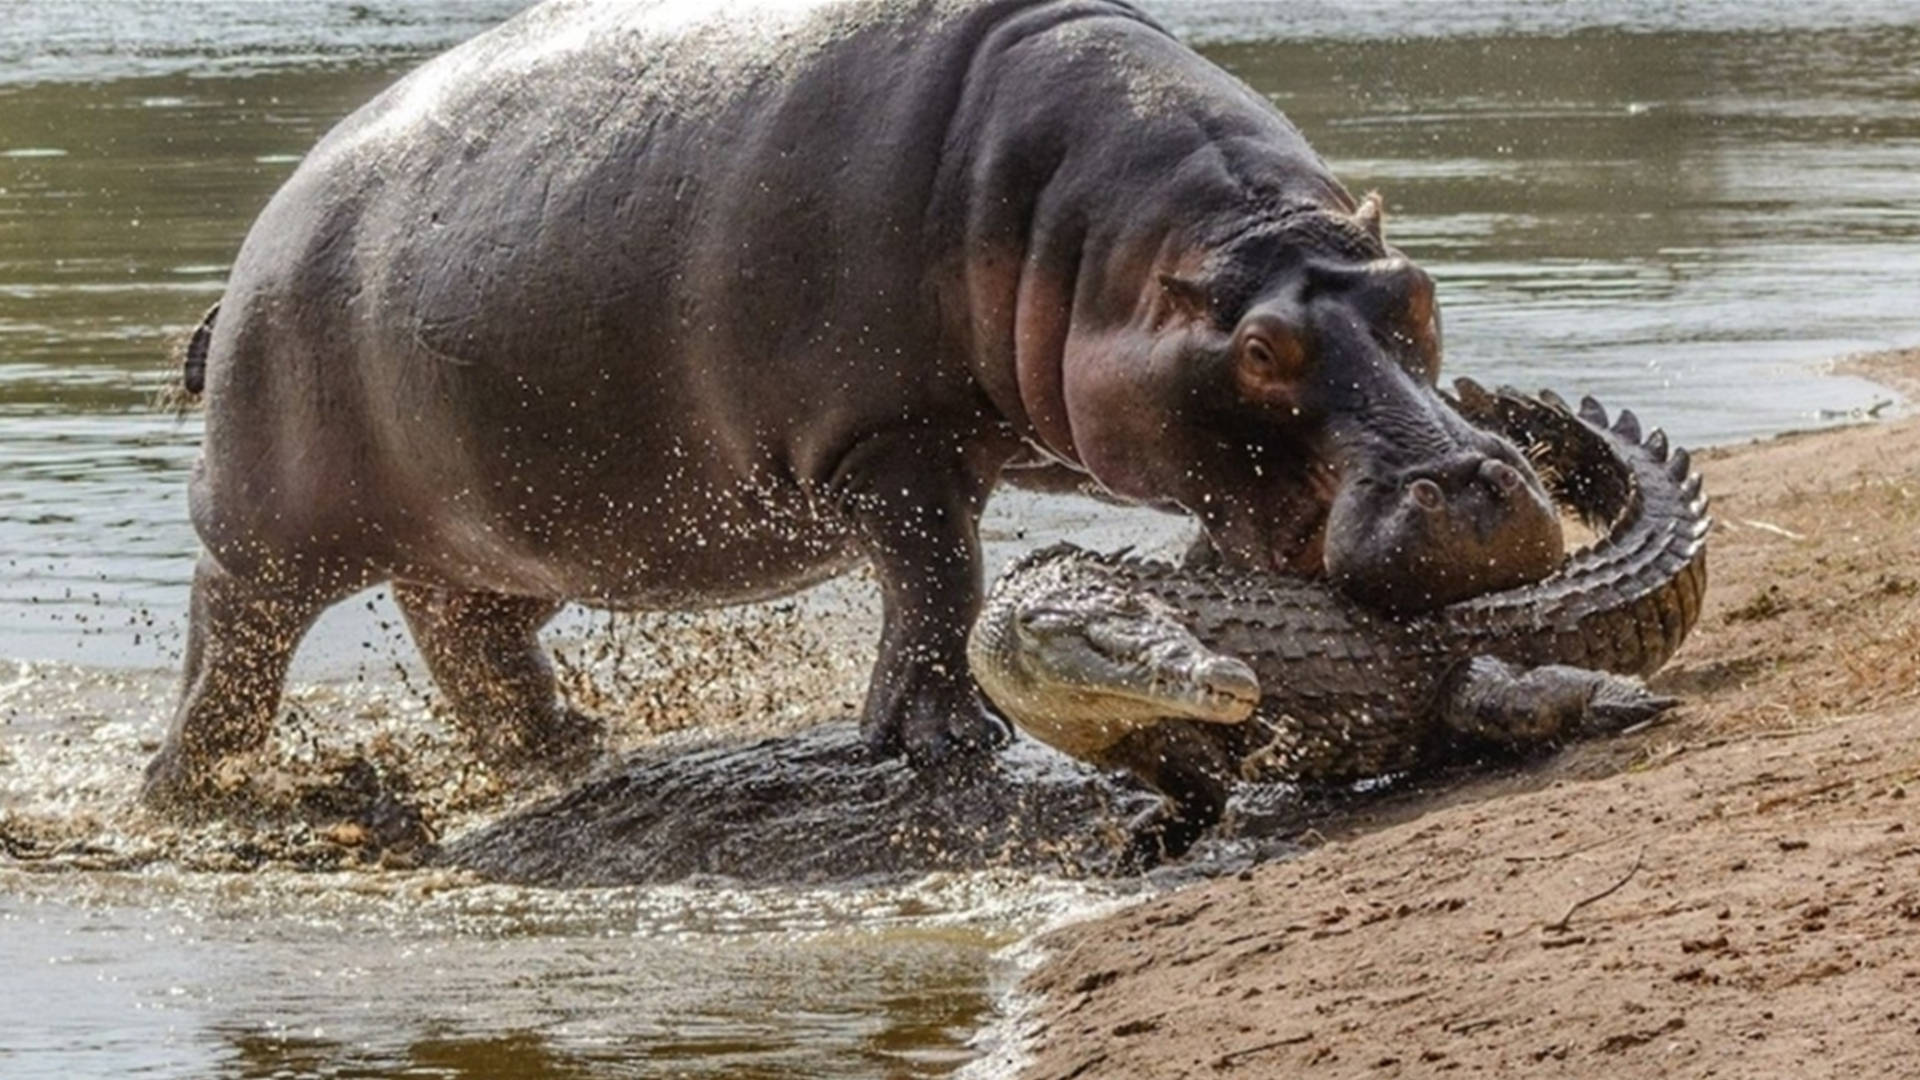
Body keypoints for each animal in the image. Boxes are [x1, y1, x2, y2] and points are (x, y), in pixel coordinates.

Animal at [145, 0, 1559, 807]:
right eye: (1262, 349)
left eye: (1417, 290)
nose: (1479, 487)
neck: (1103, 247)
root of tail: (256, 242)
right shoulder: (888, 440)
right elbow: (938, 577)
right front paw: (943, 744)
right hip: (276, 522)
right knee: (235, 634)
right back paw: (199, 792)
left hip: (506, 529)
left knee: (466, 630)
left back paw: (566, 752)